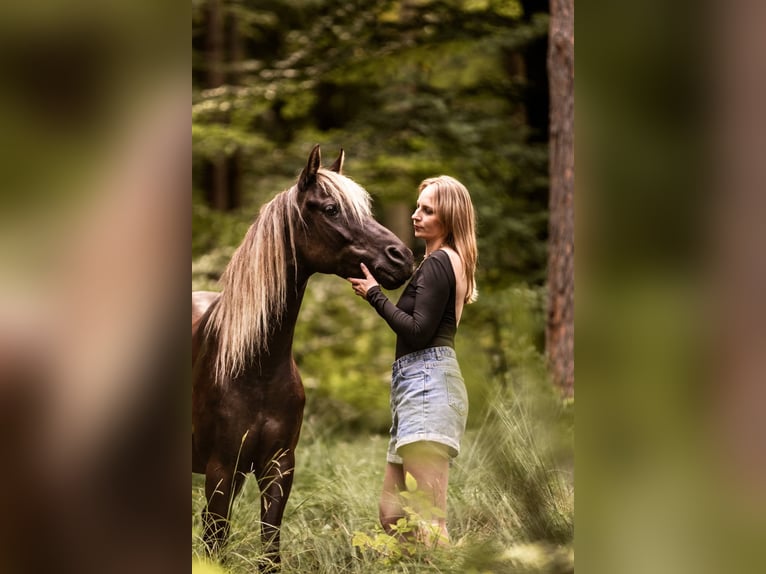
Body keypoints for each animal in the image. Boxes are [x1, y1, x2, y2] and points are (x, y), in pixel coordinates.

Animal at [192, 145, 414, 569]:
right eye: (331, 208)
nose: (403, 258)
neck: (255, 368)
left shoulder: (278, 468)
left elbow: (270, 548)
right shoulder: (221, 469)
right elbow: (214, 545)